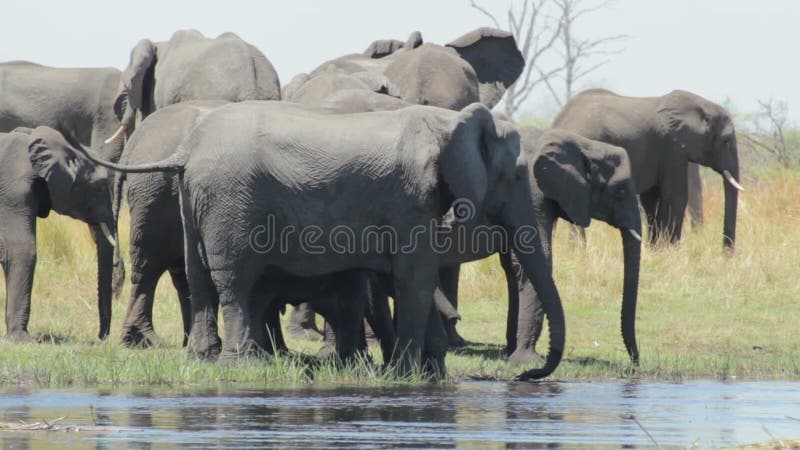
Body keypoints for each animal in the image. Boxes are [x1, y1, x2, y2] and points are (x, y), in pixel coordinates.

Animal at [78, 101, 568, 380]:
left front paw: (428, 375)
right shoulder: (412, 202)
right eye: (518, 176)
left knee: (199, 278)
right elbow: (414, 279)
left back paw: (204, 359)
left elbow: (412, 281)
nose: (527, 377)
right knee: (233, 282)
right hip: (230, 202)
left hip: (194, 196)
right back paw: (241, 365)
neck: (449, 124)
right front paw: (405, 377)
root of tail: (189, 149)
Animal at [552, 88, 740, 250]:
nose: (726, 255)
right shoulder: (673, 148)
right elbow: (675, 195)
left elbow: (651, 199)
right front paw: (671, 251)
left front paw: (654, 250)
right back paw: (578, 251)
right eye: (725, 141)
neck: (701, 105)